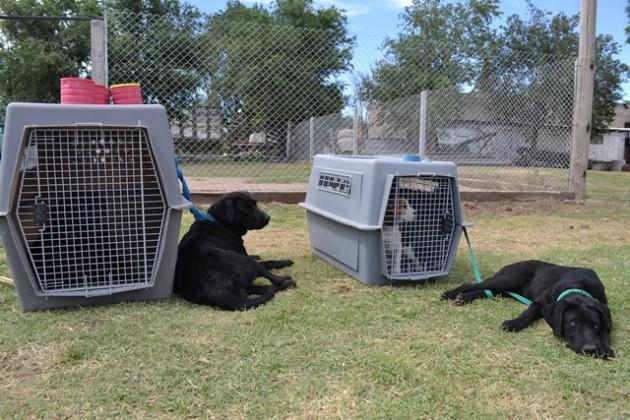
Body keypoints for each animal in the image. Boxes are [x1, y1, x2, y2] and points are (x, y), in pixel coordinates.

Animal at [442, 258, 616, 360]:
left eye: (595, 325)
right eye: (573, 323)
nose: (590, 349)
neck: (579, 286)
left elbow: (606, 330)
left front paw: (605, 347)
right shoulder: (540, 302)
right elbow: (529, 312)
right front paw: (513, 323)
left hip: (508, 291)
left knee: (487, 291)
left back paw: (464, 298)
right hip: (508, 279)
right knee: (473, 284)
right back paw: (451, 294)